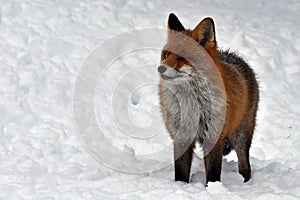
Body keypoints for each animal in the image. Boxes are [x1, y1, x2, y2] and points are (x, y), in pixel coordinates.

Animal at [158, 12, 258, 184]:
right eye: (165, 55)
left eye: (182, 57)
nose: (160, 68)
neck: (192, 105)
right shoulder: (181, 135)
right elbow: (181, 172)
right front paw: (180, 186)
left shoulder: (214, 136)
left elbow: (212, 173)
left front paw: (213, 188)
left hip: (241, 137)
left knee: (245, 167)